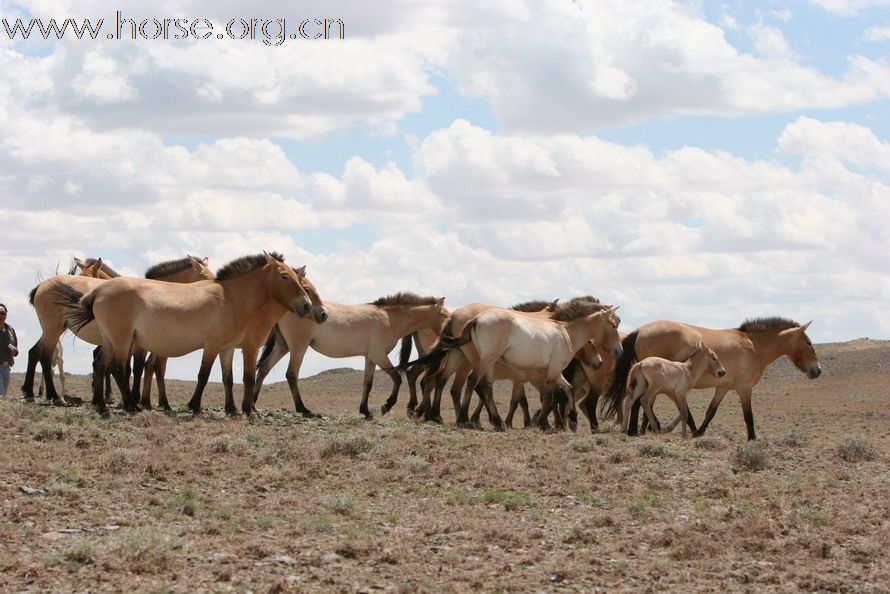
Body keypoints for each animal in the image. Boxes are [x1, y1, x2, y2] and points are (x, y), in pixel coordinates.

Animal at [55, 252, 314, 414]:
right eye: (285, 276)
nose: (307, 306)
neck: (229, 298)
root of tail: (97, 291)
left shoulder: (227, 347)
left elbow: (227, 377)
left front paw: (233, 409)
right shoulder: (212, 345)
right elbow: (203, 375)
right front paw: (194, 406)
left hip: (110, 340)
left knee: (101, 365)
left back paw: (101, 404)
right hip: (121, 340)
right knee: (118, 368)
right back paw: (130, 404)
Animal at [251, 292, 448, 416]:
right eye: (446, 315)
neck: (389, 318)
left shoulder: (370, 357)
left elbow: (368, 383)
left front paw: (366, 411)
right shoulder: (379, 355)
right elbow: (397, 378)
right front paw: (386, 406)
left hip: (282, 346)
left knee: (264, 368)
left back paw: (252, 403)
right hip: (298, 347)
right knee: (291, 374)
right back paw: (303, 409)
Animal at [600, 314, 824, 440]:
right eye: (809, 343)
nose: (818, 370)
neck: (753, 346)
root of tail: (639, 330)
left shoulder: (723, 387)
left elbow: (710, 412)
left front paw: (699, 433)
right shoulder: (744, 388)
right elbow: (748, 416)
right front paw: (752, 438)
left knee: (640, 403)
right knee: (640, 403)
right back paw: (636, 430)